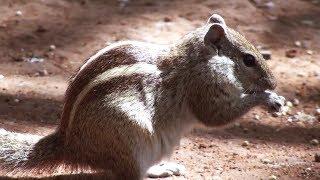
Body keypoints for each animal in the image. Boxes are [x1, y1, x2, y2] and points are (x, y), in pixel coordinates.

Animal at [0, 13, 284, 179]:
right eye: (248, 60)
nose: (273, 82)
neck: (195, 58)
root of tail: (69, 143)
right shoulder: (203, 86)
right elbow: (215, 116)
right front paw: (268, 97)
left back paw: (162, 168)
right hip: (131, 138)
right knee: (130, 175)